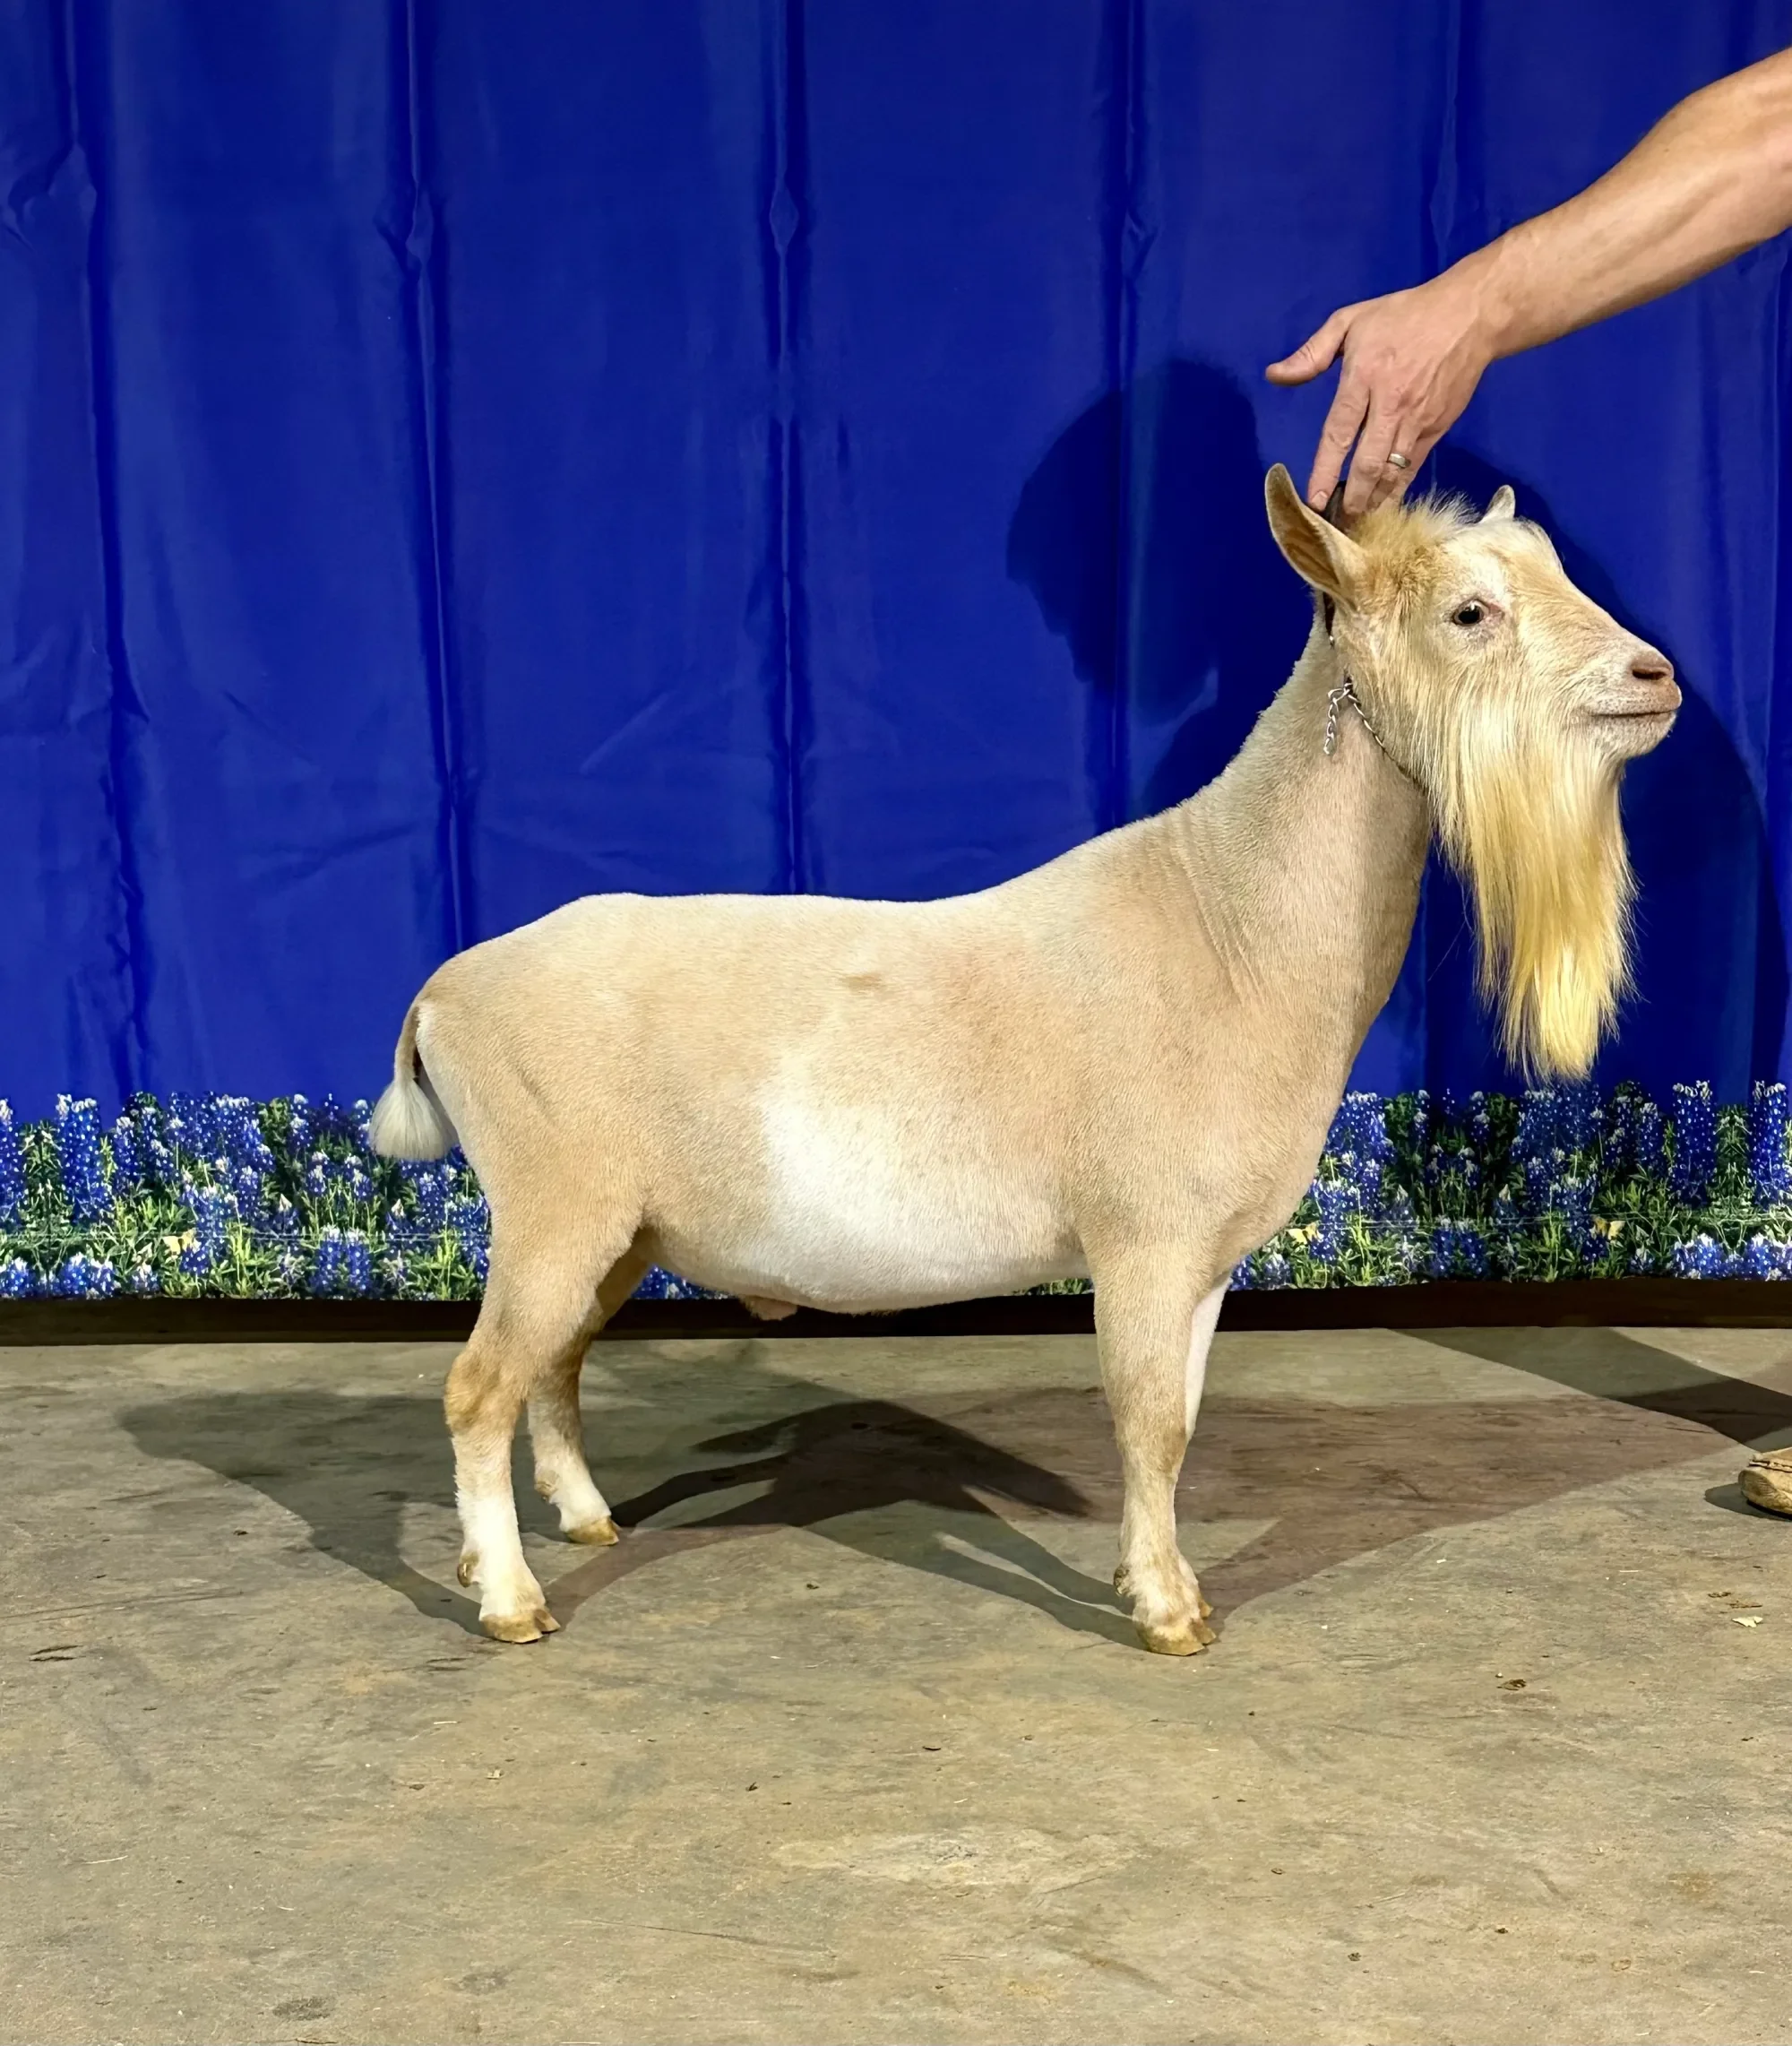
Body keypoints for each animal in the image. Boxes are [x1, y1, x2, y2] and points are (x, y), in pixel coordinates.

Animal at [371, 468, 1678, 1652]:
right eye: (1469, 612)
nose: (1655, 676)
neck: (1226, 920)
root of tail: (441, 993)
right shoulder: (1144, 1240)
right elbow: (1149, 1425)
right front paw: (1168, 1615)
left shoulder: (1204, 1261)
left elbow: (1181, 1419)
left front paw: (1163, 1584)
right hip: (554, 1202)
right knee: (478, 1387)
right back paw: (509, 1598)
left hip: (617, 1228)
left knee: (553, 1368)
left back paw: (580, 1523)